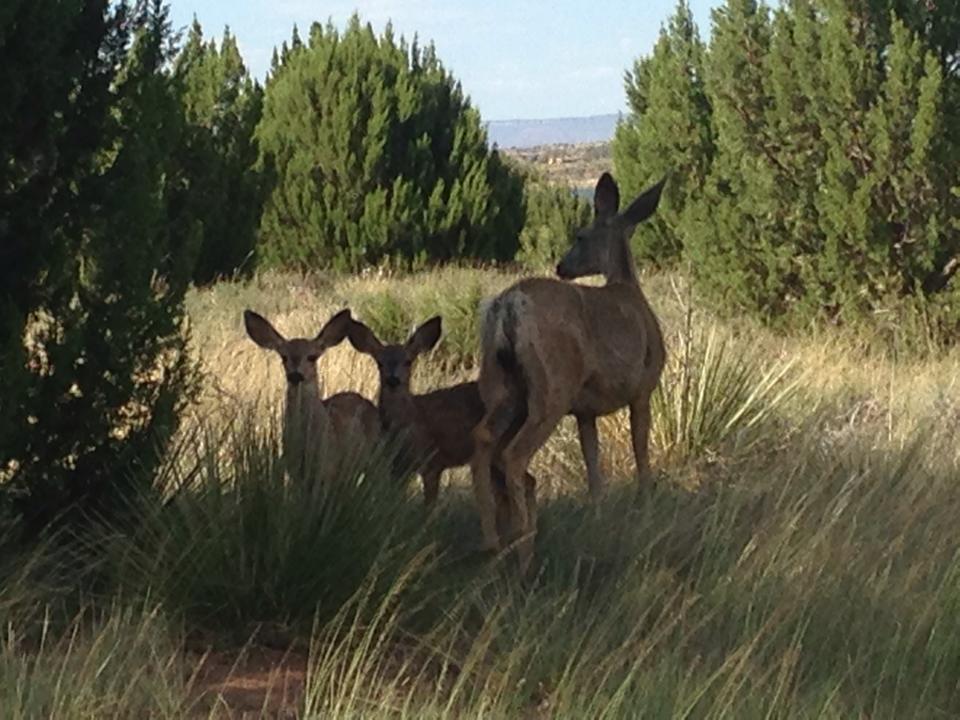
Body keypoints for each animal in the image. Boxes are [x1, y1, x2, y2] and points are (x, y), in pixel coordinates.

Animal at [468, 172, 664, 572]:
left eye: (580, 237)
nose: (562, 266)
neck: (629, 289)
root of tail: (507, 306)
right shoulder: (642, 388)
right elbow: (640, 450)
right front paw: (646, 503)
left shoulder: (585, 411)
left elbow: (592, 463)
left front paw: (598, 513)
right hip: (552, 386)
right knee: (513, 455)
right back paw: (525, 553)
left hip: (498, 381)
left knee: (481, 438)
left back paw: (492, 541)